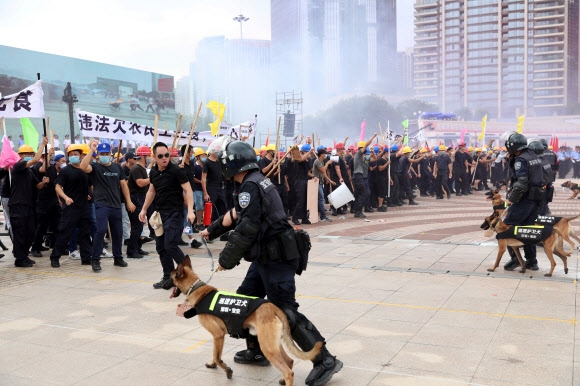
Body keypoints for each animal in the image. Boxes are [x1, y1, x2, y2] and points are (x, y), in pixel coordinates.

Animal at [169, 256, 322, 386]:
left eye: (169, 278)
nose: (163, 283)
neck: (196, 289)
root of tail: (274, 308)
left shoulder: (218, 335)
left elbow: (218, 357)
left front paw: (227, 370)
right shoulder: (216, 337)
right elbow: (214, 354)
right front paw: (213, 364)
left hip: (267, 347)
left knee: (288, 372)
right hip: (273, 343)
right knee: (289, 361)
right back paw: (283, 380)